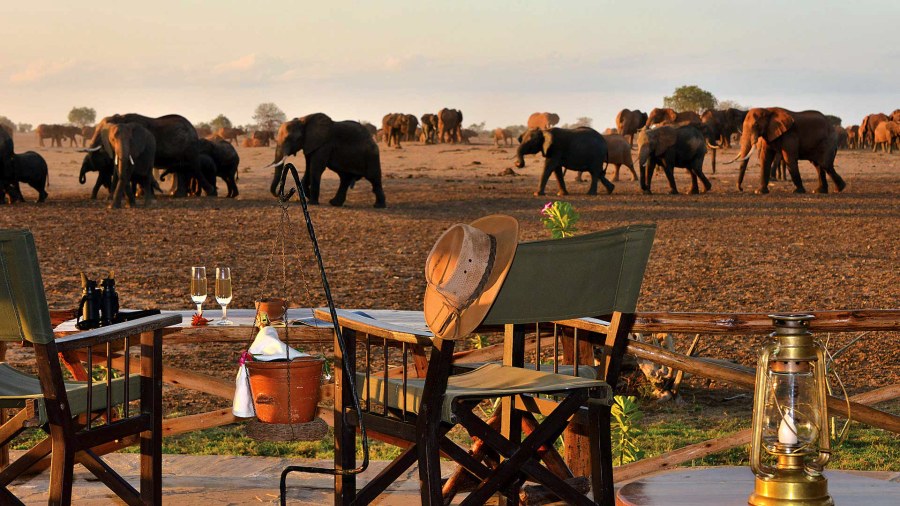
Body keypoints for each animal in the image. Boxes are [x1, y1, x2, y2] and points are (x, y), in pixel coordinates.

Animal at [82, 113, 214, 198]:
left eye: (102, 135)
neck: (119, 117)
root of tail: (194, 129)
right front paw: (140, 194)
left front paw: (140, 194)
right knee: (181, 169)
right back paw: (177, 195)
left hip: (189, 148)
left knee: (193, 168)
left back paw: (210, 193)